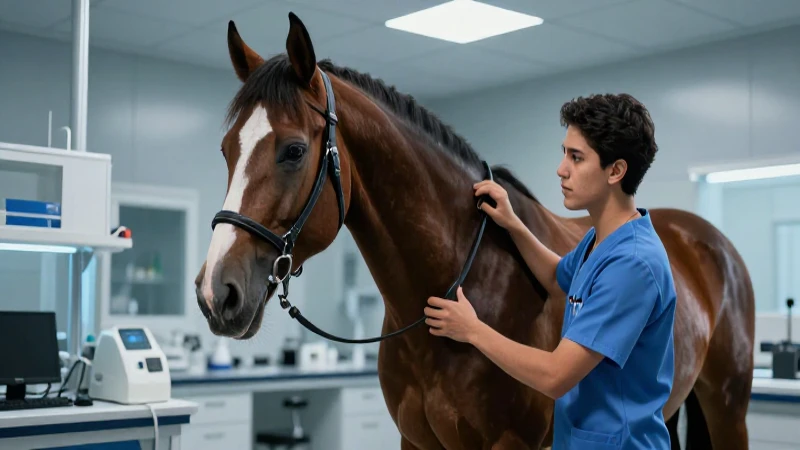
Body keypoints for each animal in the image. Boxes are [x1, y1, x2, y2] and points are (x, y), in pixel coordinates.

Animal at [194, 13, 755, 449]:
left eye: (293, 150)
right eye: (224, 149)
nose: (215, 292)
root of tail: (707, 241)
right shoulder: (415, 440)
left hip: (728, 410)